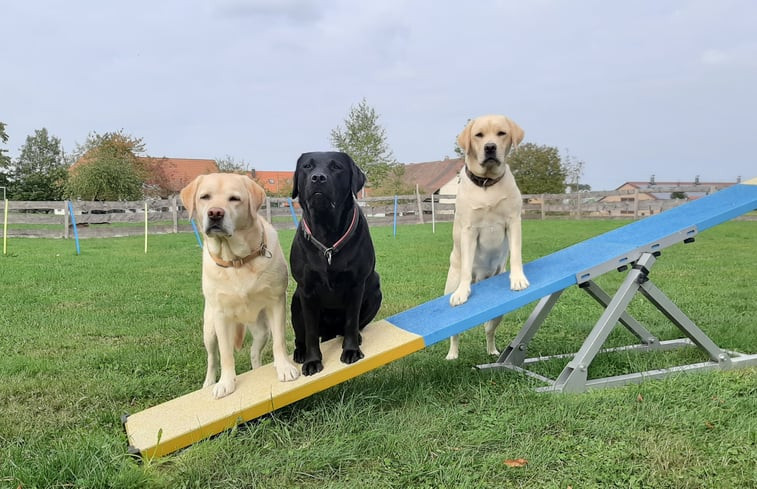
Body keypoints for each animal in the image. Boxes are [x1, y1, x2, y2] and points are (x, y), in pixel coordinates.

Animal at [180, 173, 298, 398]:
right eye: (204, 197)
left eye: (234, 198)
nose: (215, 213)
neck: (237, 261)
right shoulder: (220, 315)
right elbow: (226, 354)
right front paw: (226, 383)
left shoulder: (276, 302)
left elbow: (279, 342)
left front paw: (284, 368)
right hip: (209, 330)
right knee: (212, 358)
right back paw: (209, 382)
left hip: (261, 331)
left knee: (253, 353)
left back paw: (259, 369)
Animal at [290, 151, 384, 376]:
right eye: (307, 166)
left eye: (336, 167)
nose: (318, 177)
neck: (327, 235)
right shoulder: (306, 290)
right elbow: (311, 332)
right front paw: (312, 361)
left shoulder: (356, 284)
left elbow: (351, 321)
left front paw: (351, 350)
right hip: (295, 301)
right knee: (301, 336)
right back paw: (300, 352)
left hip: (375, 288)